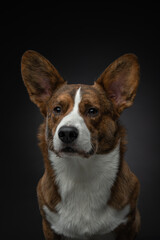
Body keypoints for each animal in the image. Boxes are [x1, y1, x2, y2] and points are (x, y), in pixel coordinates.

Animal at [21, 49, 140, 239]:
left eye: (92, 111)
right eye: (57, 109)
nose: (67, 133)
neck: (80, 172)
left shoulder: (127, 223)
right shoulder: (49, 225)